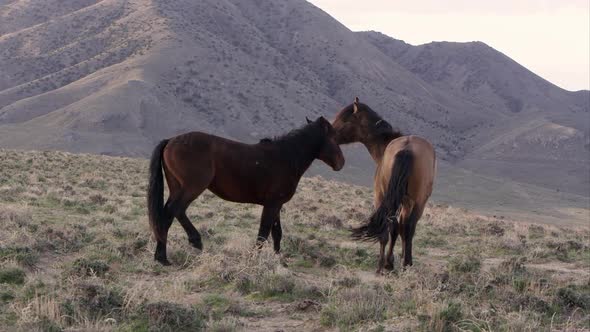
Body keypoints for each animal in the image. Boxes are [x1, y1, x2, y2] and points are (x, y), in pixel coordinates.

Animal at [147, 116, 346, 264]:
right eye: (333, 137)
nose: (341, 163)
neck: (286, 157)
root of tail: (170, 141)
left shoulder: (276, 204)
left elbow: (276, 233)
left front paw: (279, 261)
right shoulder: (272, 204)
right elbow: (263, 233)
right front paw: (253, 259)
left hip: (176, 188)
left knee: (166, 216)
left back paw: (162, 258)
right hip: (192, 188)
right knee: (176, 210)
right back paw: (196, 242)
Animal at [336, 98, 438, 272]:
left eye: (344, 120)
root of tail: (407, 148)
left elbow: (394, 228)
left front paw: (388, 263)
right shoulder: (405, 201)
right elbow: (400, 228)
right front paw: (398, 260)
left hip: (390, 197)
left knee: (394, 226)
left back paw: (385, 266)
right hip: (416, 201)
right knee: (406, 227)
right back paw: (404, 264)